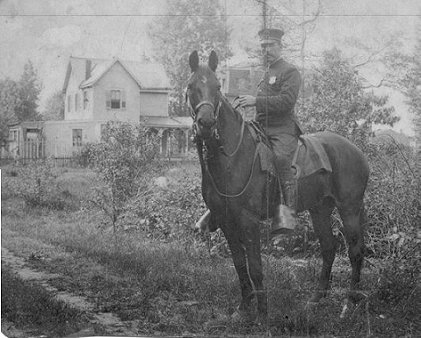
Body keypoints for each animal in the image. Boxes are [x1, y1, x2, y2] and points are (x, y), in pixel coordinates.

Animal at [187, 50, 368, 322]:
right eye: (191, 86)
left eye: (218, 87)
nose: (206, 123)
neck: (233, 156)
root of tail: (357, 151)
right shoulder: (227, 222)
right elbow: (239, 265)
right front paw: (243, 308)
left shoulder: (249, 222)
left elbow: (255, 267)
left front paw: (262, 314)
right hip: (320, 209)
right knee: (328, 247)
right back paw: (315, 300)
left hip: (350, 210)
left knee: (355, 252)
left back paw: (348, 305)